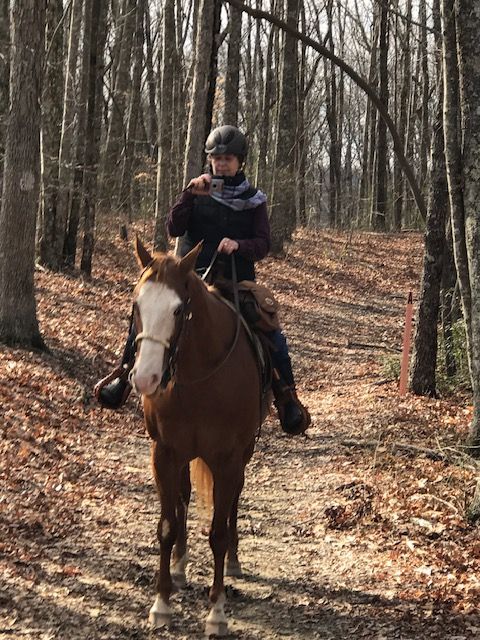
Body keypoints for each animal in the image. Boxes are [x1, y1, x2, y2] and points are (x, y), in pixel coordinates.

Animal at [130, 237, 268, 636]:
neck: (199, 375)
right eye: (137, 303)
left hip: (243, 453)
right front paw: (161, 604)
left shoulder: (227, 459)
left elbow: (218, 534)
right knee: (184, 497)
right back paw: (179, 566)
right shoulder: (164, 453)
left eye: (179, 310)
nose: (145, 379)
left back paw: (234, 560)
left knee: (234, 500)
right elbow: (166, 525)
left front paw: (216, 613)